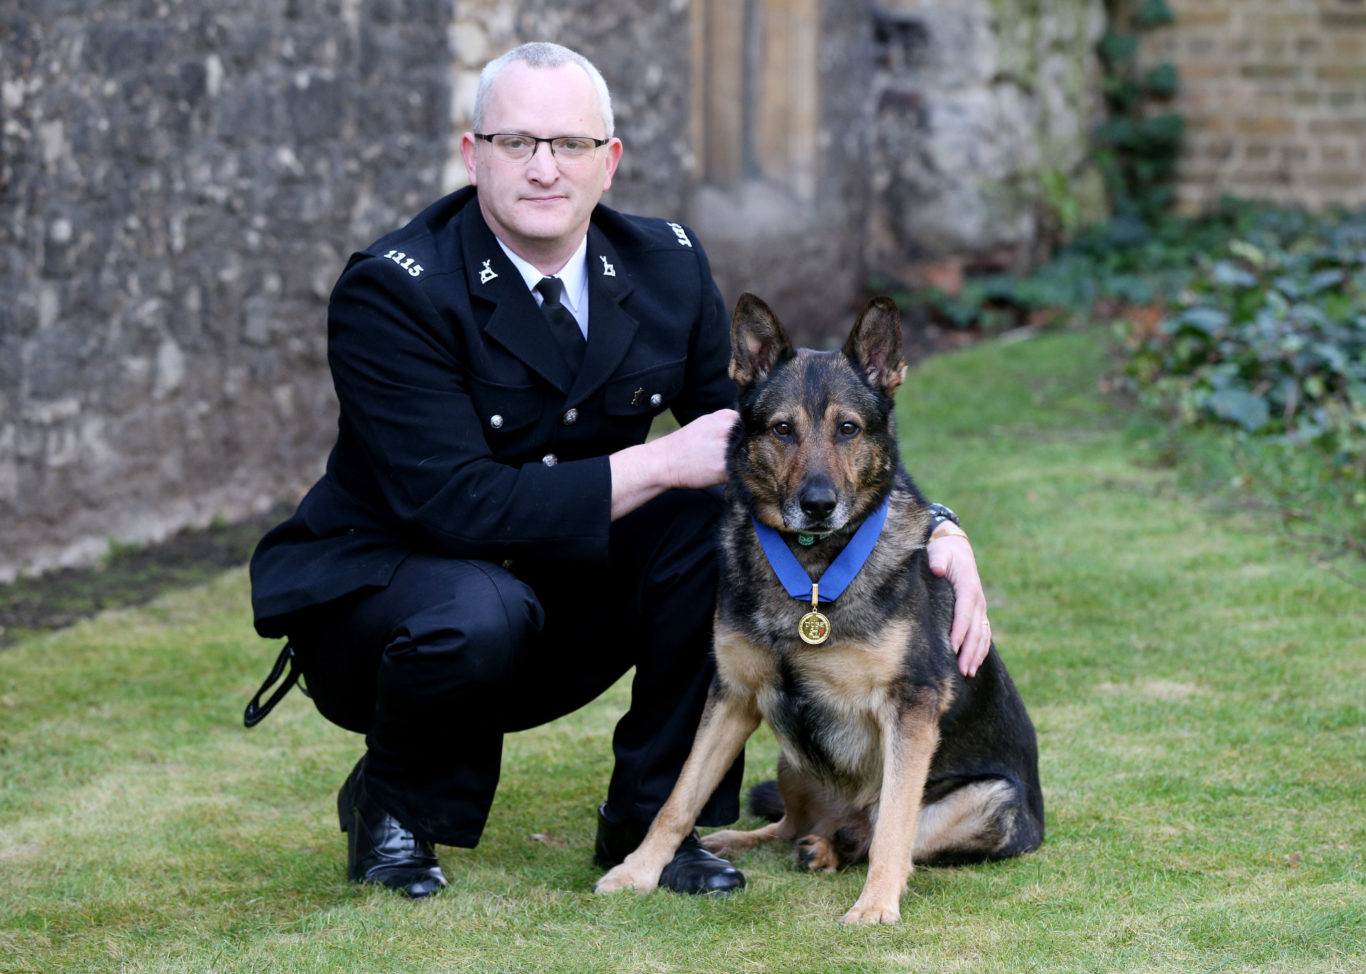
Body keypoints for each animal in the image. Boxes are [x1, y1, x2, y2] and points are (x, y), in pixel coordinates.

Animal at [592, 292, 1038, 923]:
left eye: (848, 429)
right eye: (783, 429)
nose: (819, 505)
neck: (812, 572)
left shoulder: (911, 710)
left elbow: (893, 825)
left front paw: (876, 907)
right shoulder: (733, 698)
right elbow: (679, 798)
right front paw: (638, 870)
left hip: (984, 799)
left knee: (871, 832)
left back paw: (829, 850)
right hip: (793, 755)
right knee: (789, 824)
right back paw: (753, 842)